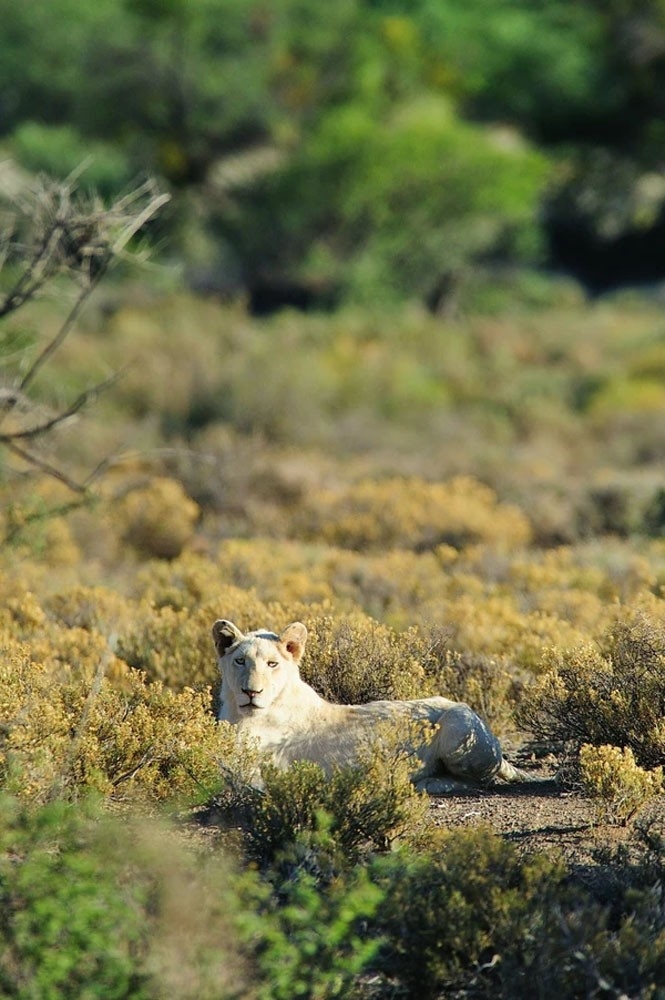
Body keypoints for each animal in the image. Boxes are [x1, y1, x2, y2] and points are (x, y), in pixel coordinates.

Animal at [213, 620, 528, 792]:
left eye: (272, 664)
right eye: (240, 661)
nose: (251, 691)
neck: (242, 714)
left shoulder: (258, 772)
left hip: (456, 728)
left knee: (481, 781)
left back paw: (423, 782)